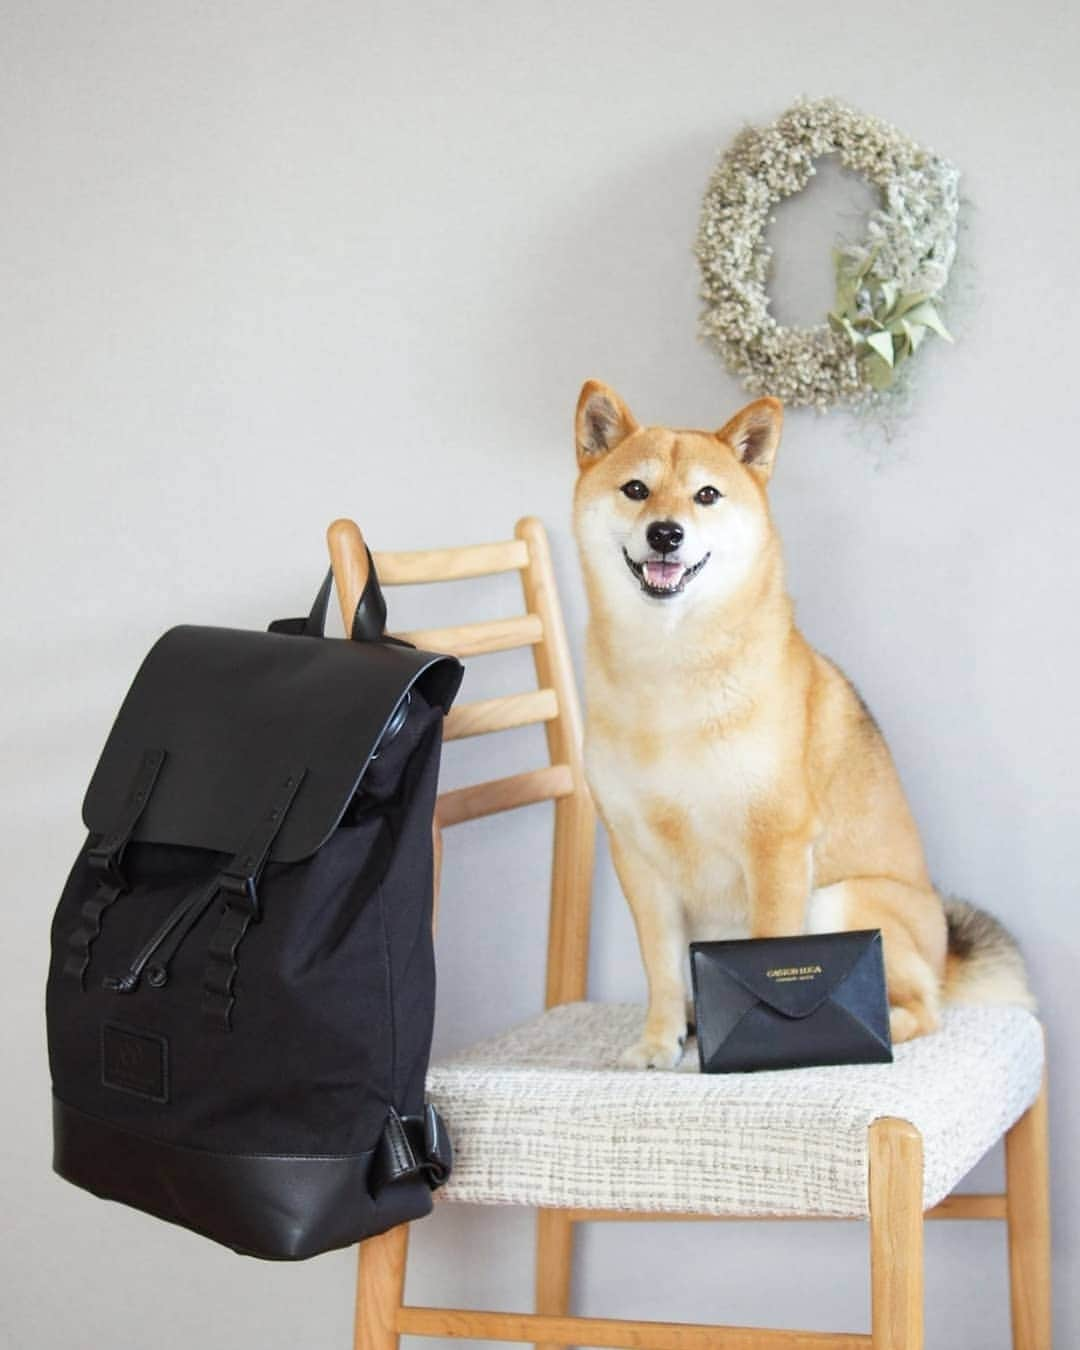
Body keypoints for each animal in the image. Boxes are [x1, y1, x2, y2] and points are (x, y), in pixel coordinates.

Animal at [569, 378, 1031, 1063]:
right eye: (635, 489)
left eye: (707, 494)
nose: (666, 533)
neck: (670, 670)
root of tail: (944, 951)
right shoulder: (639, 857)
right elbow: (660, 968)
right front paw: (659, 1042)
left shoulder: (776, 843)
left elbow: (768, 946)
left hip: (839, 901)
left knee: (922, 1008)